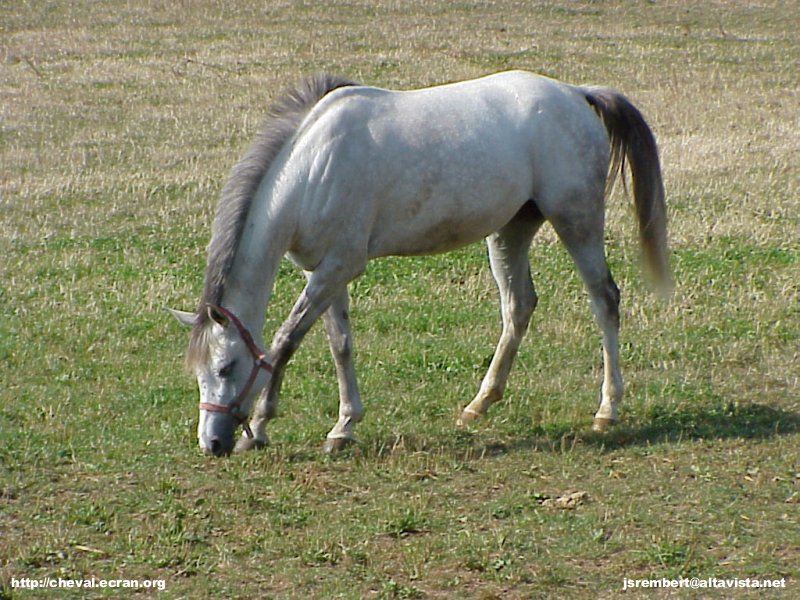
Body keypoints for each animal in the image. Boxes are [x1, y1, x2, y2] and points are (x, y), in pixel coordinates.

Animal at [169, 69, 668, 454]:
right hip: (510, 231)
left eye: (226, 367)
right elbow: (340, 344)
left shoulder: (337, 268)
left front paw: (259, 428)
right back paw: (479, 404)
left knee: (604, 300)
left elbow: (284, 342)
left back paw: (607, 410)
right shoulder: (326, 270)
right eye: (198, 372)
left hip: (576, 221)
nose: (212, 443)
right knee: (519, 307)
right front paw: (343, 427)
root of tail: (576, 93)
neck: (313, 167)